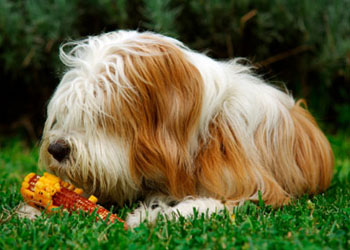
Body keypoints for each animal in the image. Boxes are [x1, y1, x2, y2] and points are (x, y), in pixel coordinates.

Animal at [36, 30, 334, 228]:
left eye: (101, 115)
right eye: (67, 112)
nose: (57, 149)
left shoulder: (261, 189)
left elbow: (214, 203)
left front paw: (153, 214)